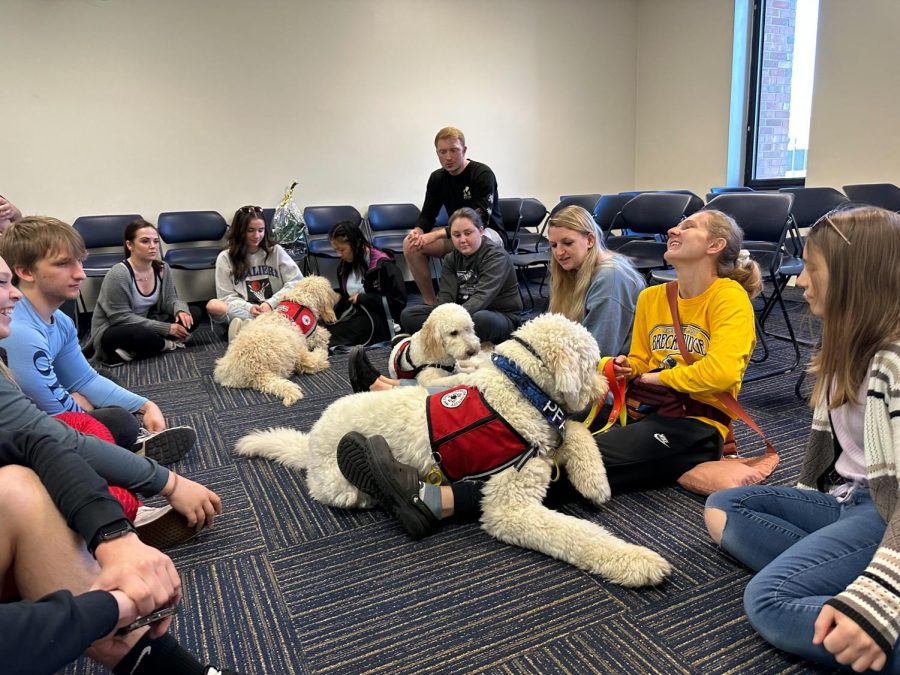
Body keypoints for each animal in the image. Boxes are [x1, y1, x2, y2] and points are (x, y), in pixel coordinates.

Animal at [214, 276, 338, 406]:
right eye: (330, 289)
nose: (337, 295)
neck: (301, 299)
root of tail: (254, 371)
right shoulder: (311, 333)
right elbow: (324, 335)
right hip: (292, 345)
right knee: (307, 363)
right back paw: (321, 355)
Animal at [236, 316, 672, 588]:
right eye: (589, 362)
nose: (606, 385)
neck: (518, 392)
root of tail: (310, 440)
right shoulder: (509, 507)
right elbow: (579, 535)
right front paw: (636, 562)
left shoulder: (547, 441)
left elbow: (578, 431)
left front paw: (594, 481)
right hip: (342, 485)